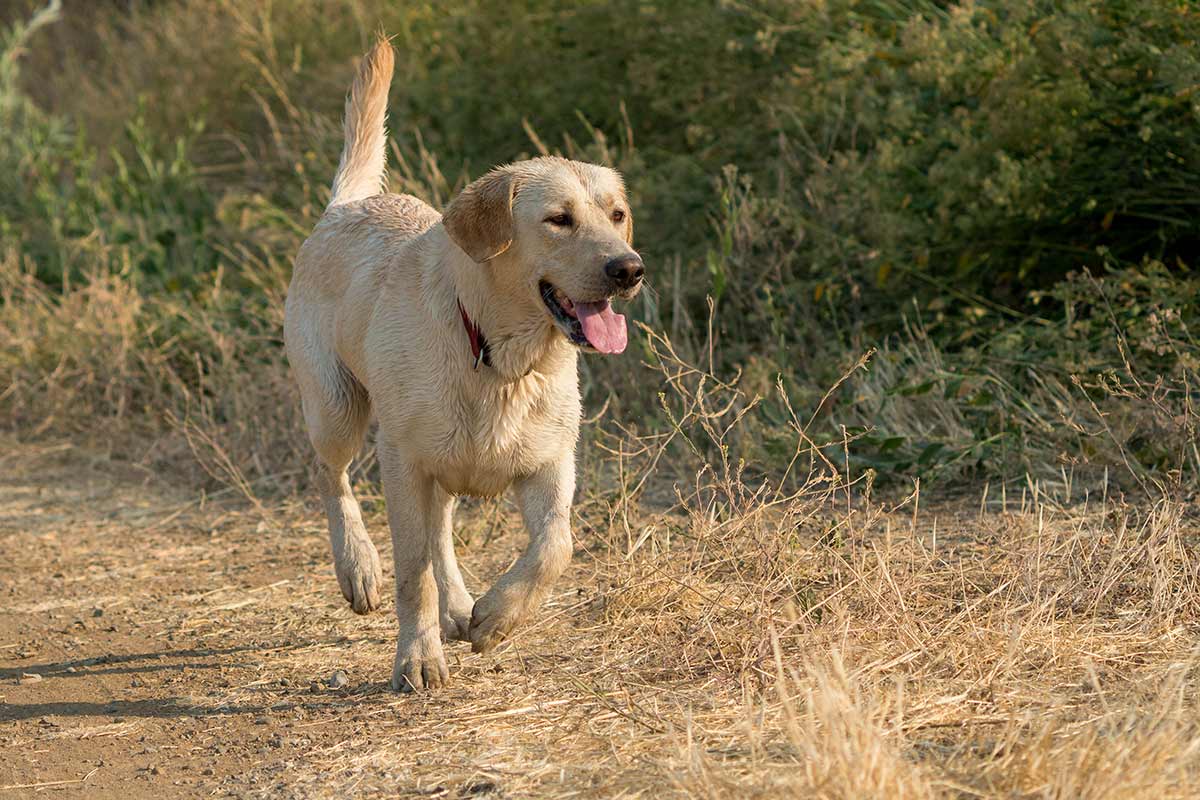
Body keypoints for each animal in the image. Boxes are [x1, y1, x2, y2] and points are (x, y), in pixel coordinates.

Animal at [283, 37, 648, 690]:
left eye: (616, 214)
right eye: (559, 219)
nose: (629, 269)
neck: (500, 356)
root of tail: (348, 204)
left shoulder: (549, 463)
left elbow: (556, 545)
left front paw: (497, 617)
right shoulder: (402, 462)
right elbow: (413, 573)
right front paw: (418, 658)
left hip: (440, 462)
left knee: (442, 534)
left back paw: (460, 607)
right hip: (337, 409)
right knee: (333, 478)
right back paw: (358, 567)